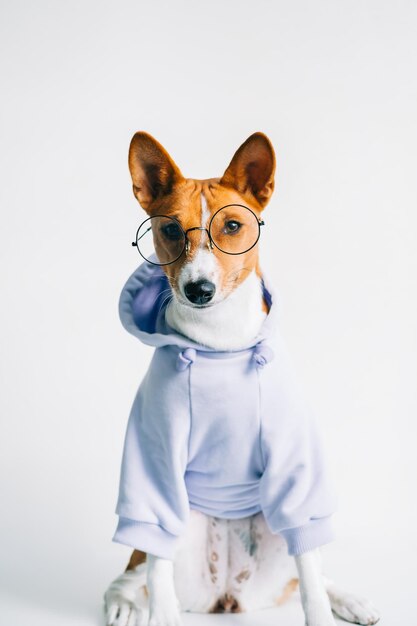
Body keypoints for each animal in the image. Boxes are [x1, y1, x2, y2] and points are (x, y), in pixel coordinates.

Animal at [103, 132, 376, 624]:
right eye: (170, 230)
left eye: (232, 226)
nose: (199, 289)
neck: (220, 344)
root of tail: (228, 594)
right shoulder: (155, 456)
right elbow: (156, 571)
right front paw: (158, 616)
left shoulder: (294, 461)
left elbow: (311, 578)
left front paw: (325, 610)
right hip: (177, 522)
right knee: (138, 569)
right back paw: (123, 603)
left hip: (277, 524)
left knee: (308, 567)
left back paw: (350, 598)